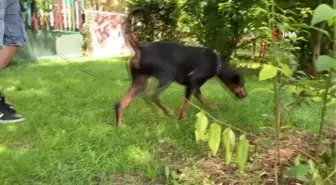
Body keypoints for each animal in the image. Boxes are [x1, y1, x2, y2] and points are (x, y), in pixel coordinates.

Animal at [115, 7, 247, 127]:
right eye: (241, 84)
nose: (245, 95)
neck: (217, 63)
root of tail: (140, 48)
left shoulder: (195, 87)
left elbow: (203, 100)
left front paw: (212, 108)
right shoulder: (192, 82)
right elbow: (186, 103)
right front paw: (182, 118)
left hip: (139, 82)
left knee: (120, 104)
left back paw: (120, 126)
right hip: (167, 75)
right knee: (154, 96)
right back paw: (168, 112)